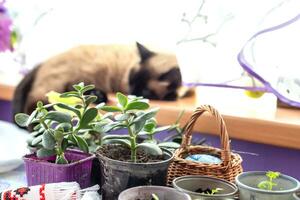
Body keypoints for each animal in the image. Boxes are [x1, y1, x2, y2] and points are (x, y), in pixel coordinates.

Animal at [12, 43, 189, 116]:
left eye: (145, 91)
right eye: (131, 80)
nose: (132, 93)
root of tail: (43, 61)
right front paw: (172, 96)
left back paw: (97, 95)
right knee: (36, 105)